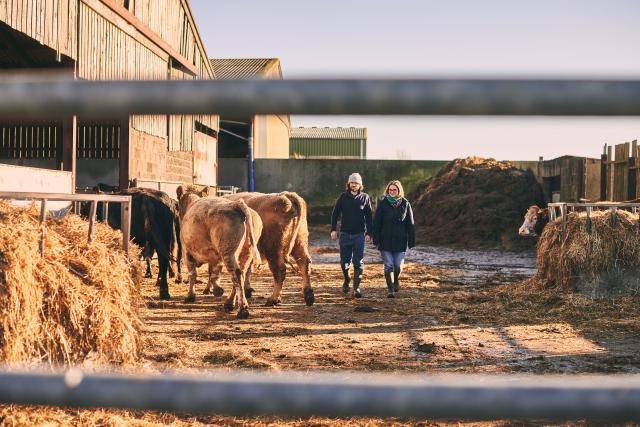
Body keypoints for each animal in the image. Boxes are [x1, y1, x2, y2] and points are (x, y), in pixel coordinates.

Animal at [178, 187, 263, 318]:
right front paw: (215, 289)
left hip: (228, 251)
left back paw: (242, 309)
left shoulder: (186, 251)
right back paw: (229, 303)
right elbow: (213, 274)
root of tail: (236, 204)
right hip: (246, 252)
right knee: (241, 274)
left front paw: (190, 296)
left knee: (237, 275)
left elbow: (193, 274)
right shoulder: (215, 257)